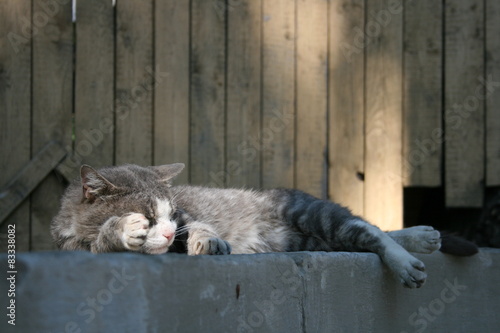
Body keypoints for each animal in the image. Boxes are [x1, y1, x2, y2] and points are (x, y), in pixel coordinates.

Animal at [52, 163, 444, 288]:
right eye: (150, 218)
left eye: (171, 215)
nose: (167, 232)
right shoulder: (71, 245)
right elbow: (99, 241)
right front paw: (122, 229)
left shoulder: (189, 219)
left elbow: (200, 226)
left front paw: (209, 242)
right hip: (310, 239)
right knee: (356, 234)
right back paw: (420, 239)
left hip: (310, 212)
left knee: (368, 229)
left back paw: (410, 255)